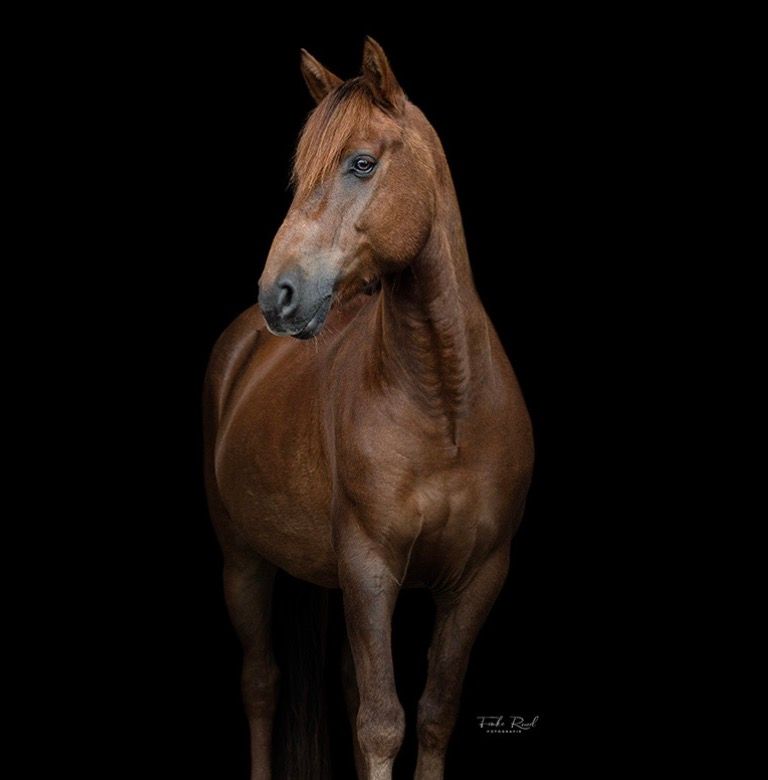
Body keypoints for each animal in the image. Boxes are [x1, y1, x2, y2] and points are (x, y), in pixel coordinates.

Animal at [204, 38, 533, 780]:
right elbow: (382, 723)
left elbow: (433, 715)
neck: (446, 410)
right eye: (300, 172)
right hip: (243, 559)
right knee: (261, 683)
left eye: (361, 162)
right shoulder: (369, 565)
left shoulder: (478, 578)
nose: (278, 295)